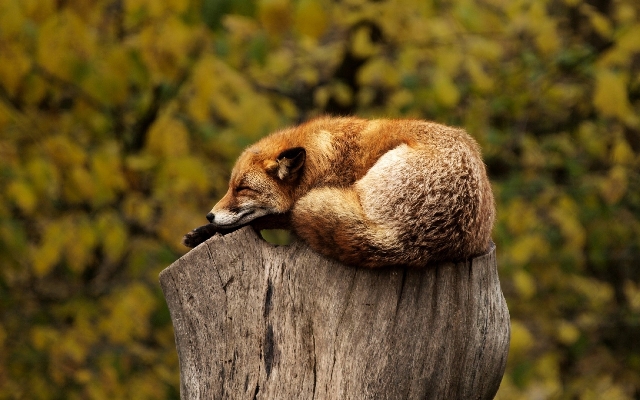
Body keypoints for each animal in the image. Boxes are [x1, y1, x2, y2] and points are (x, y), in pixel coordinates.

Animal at [182, 115, 498, 268]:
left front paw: (206, 231)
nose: (209, 215)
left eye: (242, 188)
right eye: (230, 187)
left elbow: (266, 219)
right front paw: (202, 231)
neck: (324, 158)